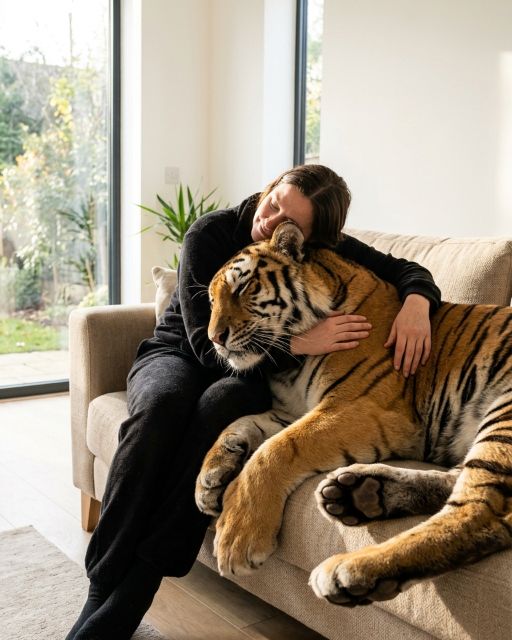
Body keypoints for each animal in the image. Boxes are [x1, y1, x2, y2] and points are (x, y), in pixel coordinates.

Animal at [194, 220, 512, 607]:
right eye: (212, 300)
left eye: (244, 287)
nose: (215, 339)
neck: (290, 363)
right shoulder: (293, 409)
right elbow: (239, 424)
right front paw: (210, 479)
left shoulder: (359, 406)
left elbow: (277, 449)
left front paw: (238, 536)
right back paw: (362, 493)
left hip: (503, 411)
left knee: (482, 512)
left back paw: (350, 571)